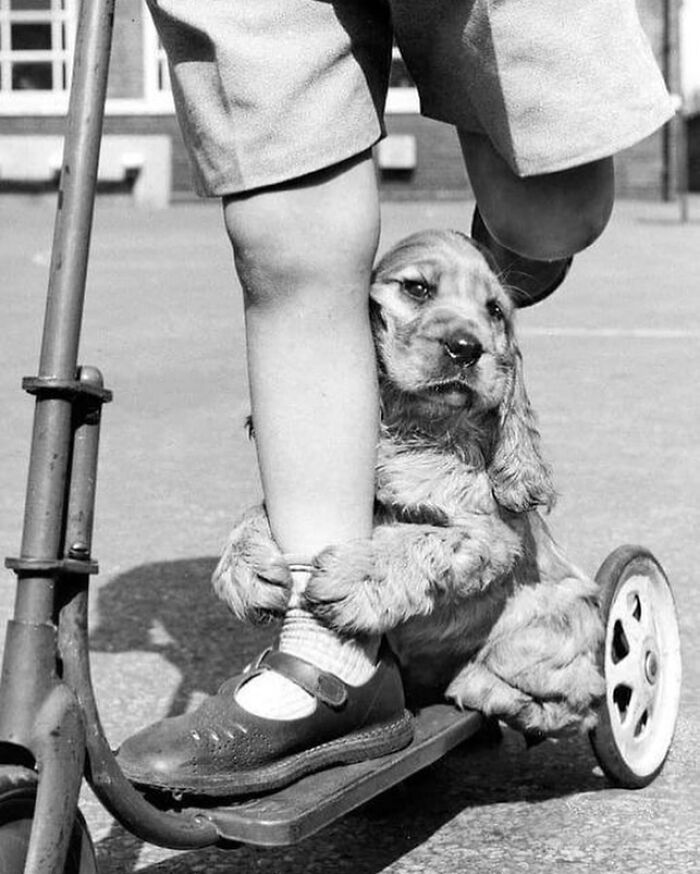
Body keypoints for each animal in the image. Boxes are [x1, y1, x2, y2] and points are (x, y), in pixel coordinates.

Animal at [215, 230, 608, 736]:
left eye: (494, 311)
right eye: (417, 288)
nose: (466, 347)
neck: (415, 426)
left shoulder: (490, 535)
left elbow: (418, 538)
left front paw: (355, 576)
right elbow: (258, 509)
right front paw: (244, 569)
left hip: (558, 620)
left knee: (577, 702)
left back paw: (481, 688)